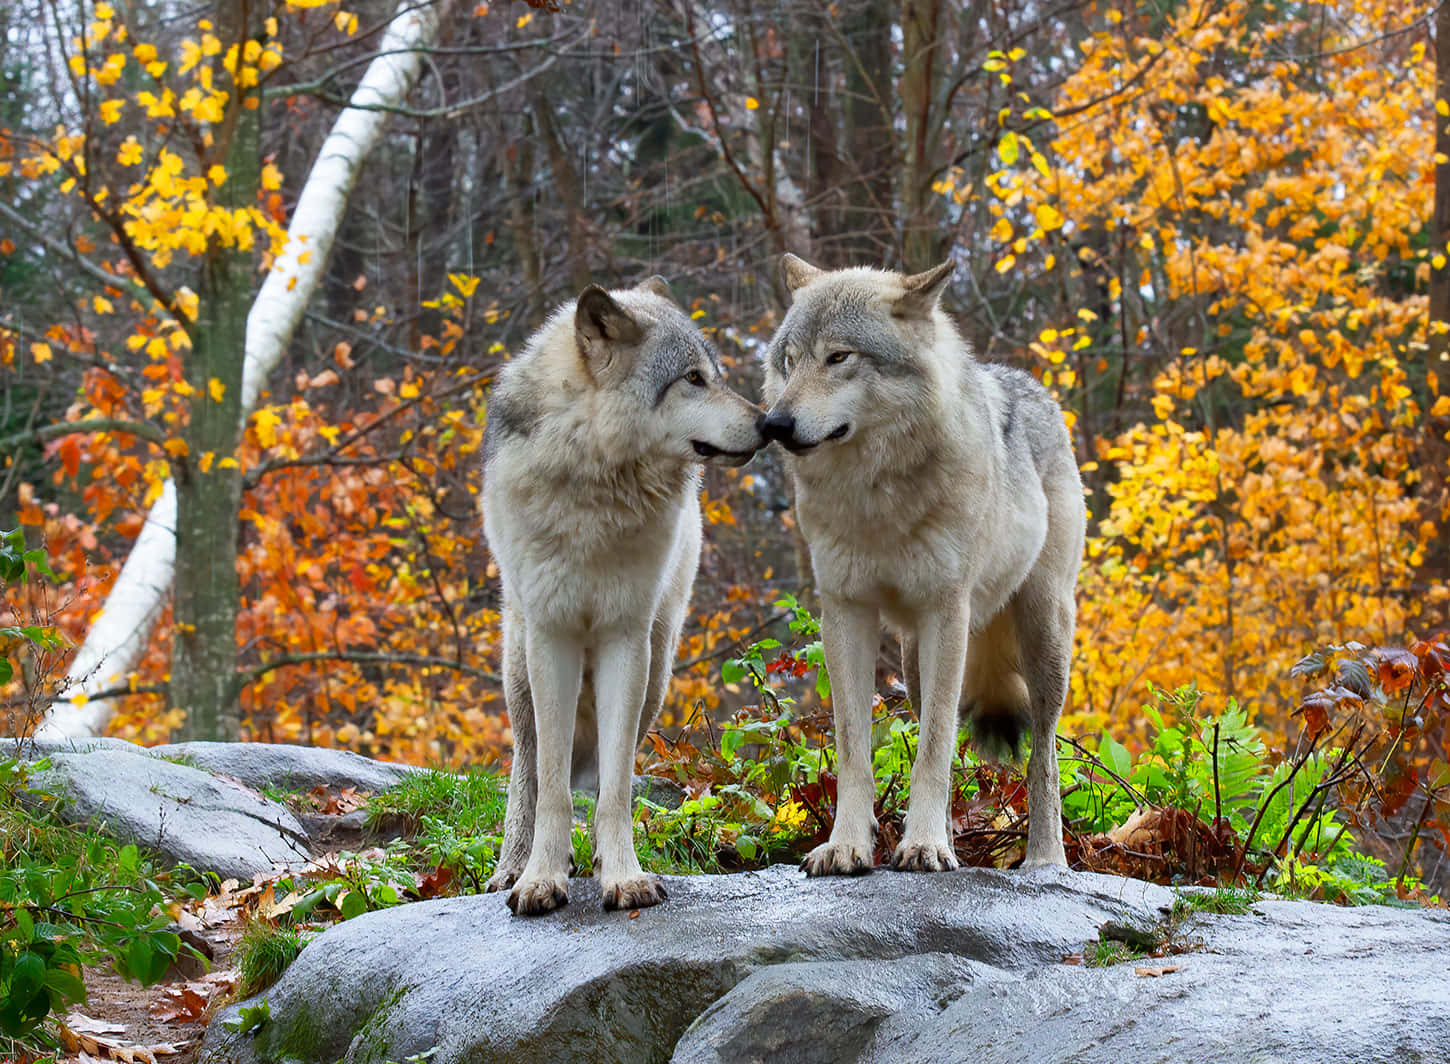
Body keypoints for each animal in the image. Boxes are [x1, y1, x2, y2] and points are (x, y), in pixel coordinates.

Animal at [481, 279, 765, 921]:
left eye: (714, 374)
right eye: (692, 379)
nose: (769, 423)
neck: (597, 488)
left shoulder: (624, 639)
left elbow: (613, 790)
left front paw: (624, 877)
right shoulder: (553, 637)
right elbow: (554, 787)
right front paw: (539, 880)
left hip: (656, 672)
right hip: (519, 669)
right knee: (526, 769)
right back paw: (511, 867)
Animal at [759, 256, 1090, 875]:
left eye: (839, 357)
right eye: (789, 362)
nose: (775, 424)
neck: (876, 499)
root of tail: (1033, 386)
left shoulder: (946, 611)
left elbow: (933, 747)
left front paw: (927, 846)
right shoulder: (845, 612)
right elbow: (855, 749)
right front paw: (848, 846)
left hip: (1043, 637)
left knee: (1045, 752)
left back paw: (1045, 860)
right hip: (913, 661)